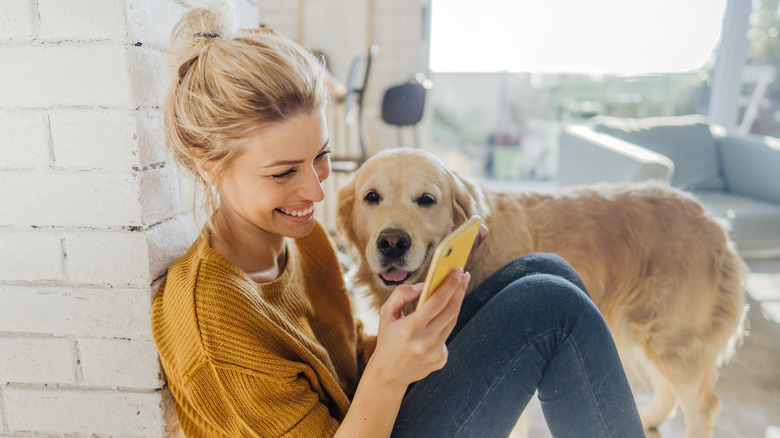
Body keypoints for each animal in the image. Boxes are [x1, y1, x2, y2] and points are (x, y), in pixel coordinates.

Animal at [336, 148, 748, 438]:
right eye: (371, 197)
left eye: (426, 199)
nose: (392, 243)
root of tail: (714, 222)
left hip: (672, 337)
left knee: (704, 405)